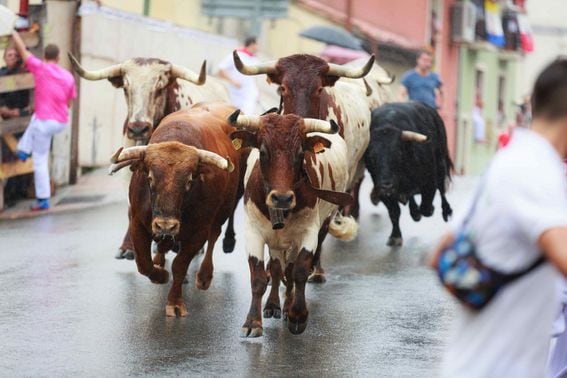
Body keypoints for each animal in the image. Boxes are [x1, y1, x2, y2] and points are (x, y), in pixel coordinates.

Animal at [110, 102, 243, 314]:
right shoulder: (137, 222)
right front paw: (160, 275)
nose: (166, 225)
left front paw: (175, 303)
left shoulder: (198, 231)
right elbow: (144, 263)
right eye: (149, 178)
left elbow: (180, 265)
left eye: (189, 181)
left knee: (214, 237)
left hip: (222, 211)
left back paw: (204, 277)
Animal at [366, 102, 454, 247]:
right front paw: (395, 236)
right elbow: (394, 212)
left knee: (442, 189)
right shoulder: (382, 192)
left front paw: (427, 210)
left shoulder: (430, 183)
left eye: (398, 154)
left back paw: (446, 211)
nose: (387, 185)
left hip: (441, 163)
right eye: (372, 157)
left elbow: (426, 207)